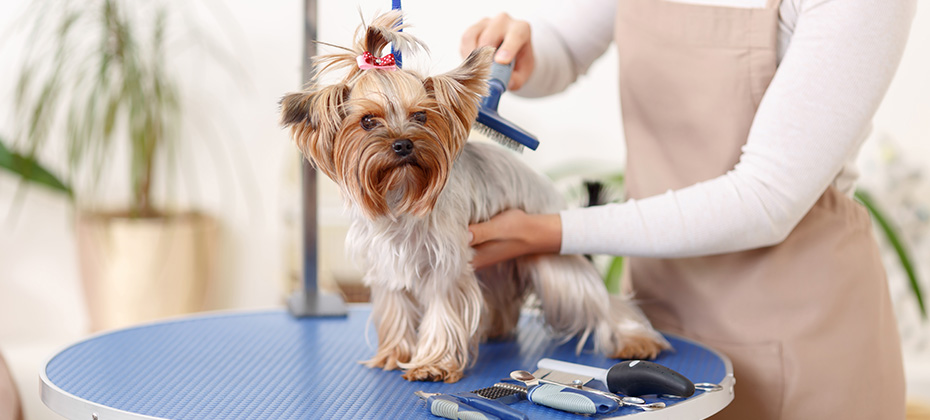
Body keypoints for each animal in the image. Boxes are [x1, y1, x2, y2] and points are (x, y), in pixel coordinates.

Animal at [278, 11, 668, 382]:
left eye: (421, 116)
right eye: (367, 121)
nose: (403, 144)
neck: (400, 194)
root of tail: (554, 196)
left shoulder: (446, 262)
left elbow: (442, 310)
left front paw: (432, 364)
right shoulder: (386, 263)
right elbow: (396, 309)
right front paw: (393, 354)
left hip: (554, 267)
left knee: (603, 302)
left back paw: (635, 340)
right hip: (495, 266)